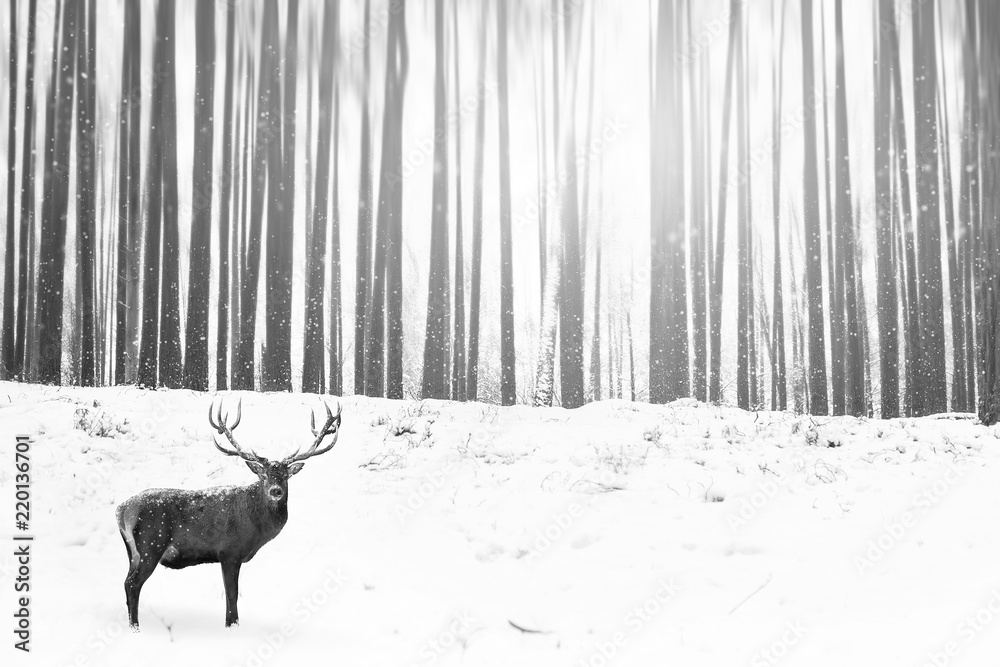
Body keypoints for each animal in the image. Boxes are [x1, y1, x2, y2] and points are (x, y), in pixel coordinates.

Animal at [115, 398, 342, 629]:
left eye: (285, 476)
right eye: (263, 475)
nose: (275, 491)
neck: (257, 528)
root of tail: (122, 509)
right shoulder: (229, 551)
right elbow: (232, 594)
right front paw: (232, 625)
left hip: (132, 551)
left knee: (125, 582)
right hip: (151, 544)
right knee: (133, 584)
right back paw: (135, 627)